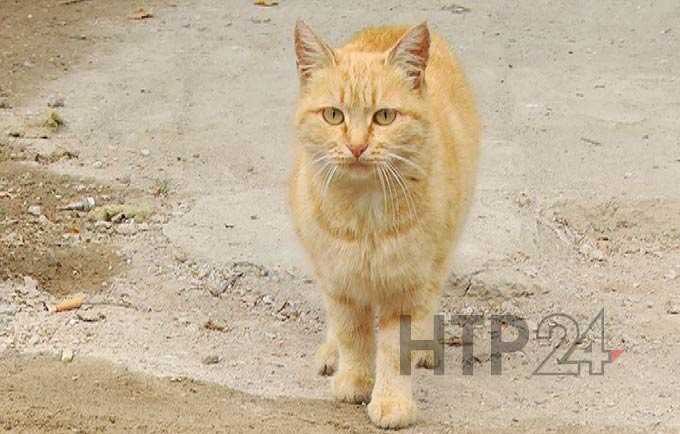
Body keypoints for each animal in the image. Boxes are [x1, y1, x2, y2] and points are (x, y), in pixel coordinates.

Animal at [290, 19, 480, 428]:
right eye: (334, 115)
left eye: (384, 117)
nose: (357, 147)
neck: (364, 213)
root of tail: (392, 24)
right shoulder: (339, 281)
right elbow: (352, 334)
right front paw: (354, 380)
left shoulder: (405, 286)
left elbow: (395, 350)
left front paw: (392, 402)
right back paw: (331, 353)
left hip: (441, 251)